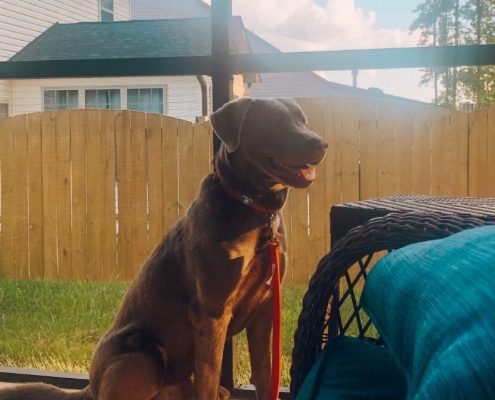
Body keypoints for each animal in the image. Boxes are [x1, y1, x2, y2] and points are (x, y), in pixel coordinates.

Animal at [0, 97, 330, 400]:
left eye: (302, 120)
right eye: (274, 121)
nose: (321, 144)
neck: (254, 210)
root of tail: (89, 387)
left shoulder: (264, 307)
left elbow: (264, 375)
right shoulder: (211, 312)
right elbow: (209, 380)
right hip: (141, 355)